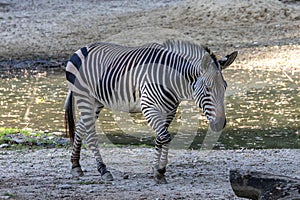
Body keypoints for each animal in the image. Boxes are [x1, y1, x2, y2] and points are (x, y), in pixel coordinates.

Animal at [64, 39, 238, 184]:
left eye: (225, 87)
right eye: (208, 89)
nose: (219, 124)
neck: (172, 80)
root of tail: (82, 48)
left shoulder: (169, 110)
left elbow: (161, 138)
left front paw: (155, 169)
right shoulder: (149, 107)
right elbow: (165, 137)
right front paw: (160, 172)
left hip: (96, 101)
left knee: (81, 127)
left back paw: (75, 166)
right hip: (84, 97)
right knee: (91, 135)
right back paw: (103, 170)